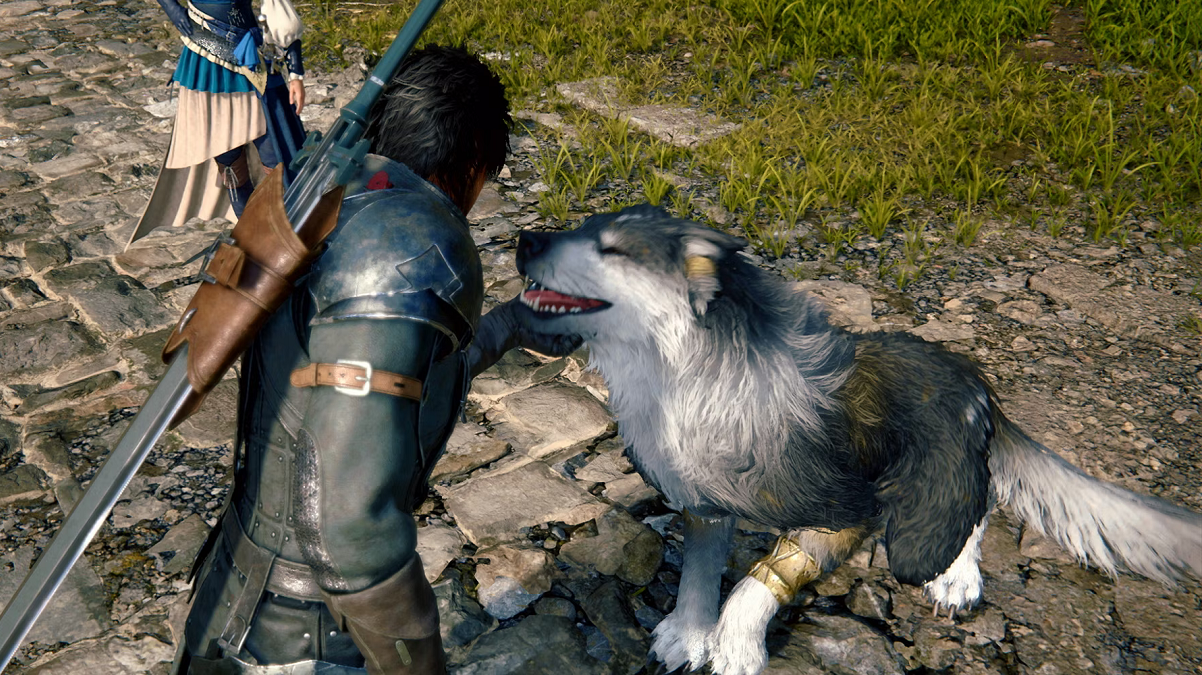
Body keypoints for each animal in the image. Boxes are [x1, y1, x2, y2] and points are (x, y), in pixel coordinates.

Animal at [512, 204, 1202, 675]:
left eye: (612, 250)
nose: (525, 239)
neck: (682, 378)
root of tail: (974, 379)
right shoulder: (704, 500)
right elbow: (702, 568)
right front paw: (687, 633)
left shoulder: (846, 511)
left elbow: (756, 581)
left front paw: (733, 647)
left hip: (933, 476)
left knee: (970, 507)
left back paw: (956, 579)